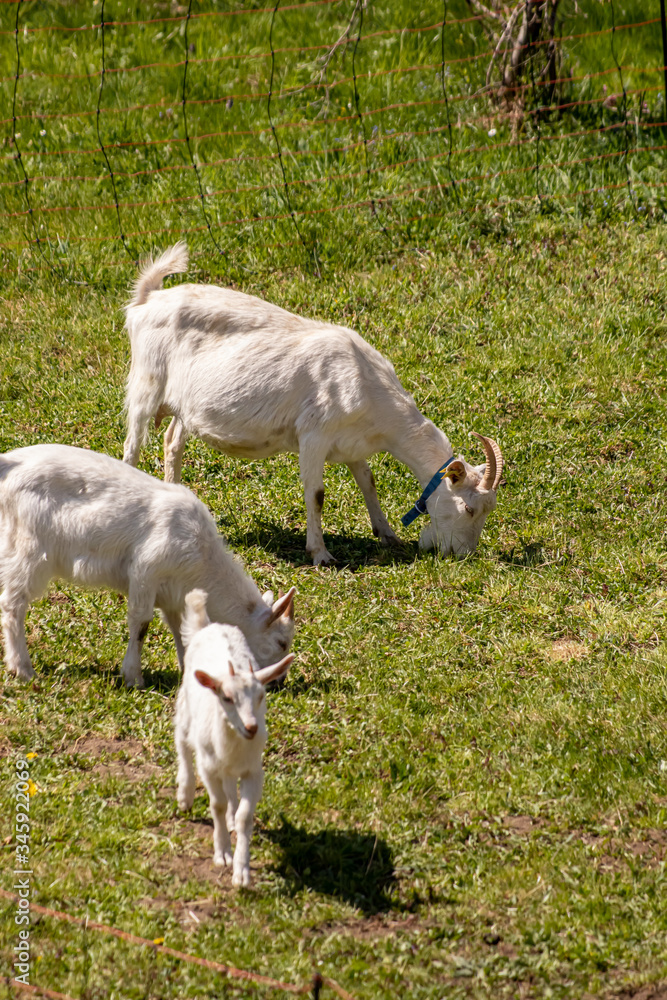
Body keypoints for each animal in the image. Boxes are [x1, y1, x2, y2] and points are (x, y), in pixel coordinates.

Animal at [0, 444, 295, 686]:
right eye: (281, 642)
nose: (278, 682)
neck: (203, 557)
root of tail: (8, 464)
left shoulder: (175, 593)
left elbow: (180, 628)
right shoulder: (146, 570)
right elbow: (140, 622)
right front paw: (134, 677)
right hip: (29, 546)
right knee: (13, 603)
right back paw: (23, 669)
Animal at [123, 243, 504, 565]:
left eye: (489, 511)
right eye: (469, 509)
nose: (463, 554)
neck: (370, 388)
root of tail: (150, 297)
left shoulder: (352, 443)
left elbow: (368, 481)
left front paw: (387, 534)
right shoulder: (313, 436)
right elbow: (317, 494)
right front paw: (321, 553)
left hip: (185, 405)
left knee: (172, 441)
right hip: (146, 382)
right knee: (132, 446)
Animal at [175, 589, 293, 886]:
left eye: (261, 695)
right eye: (226, 698)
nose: (251, 727)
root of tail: (209, 625)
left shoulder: (253, 771)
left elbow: (244, 816)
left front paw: (241, 870)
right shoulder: (208, 766)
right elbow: (216, 804)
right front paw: (223, 854)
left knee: (229, 786)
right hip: (185, 710)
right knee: (182, 743)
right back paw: (184, 793)